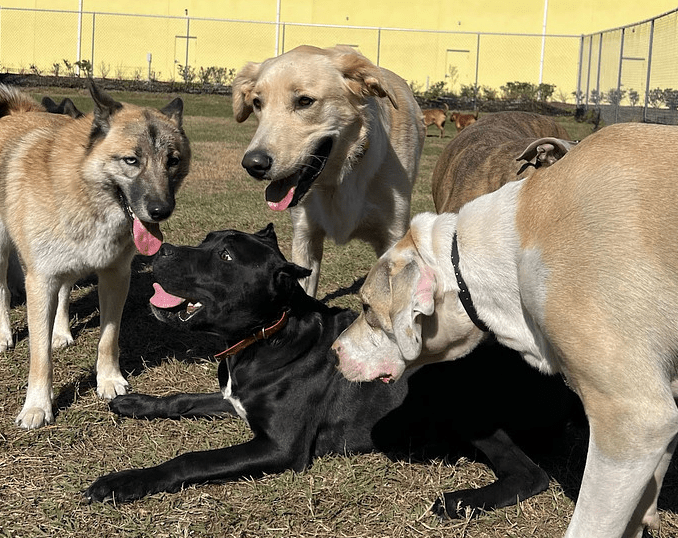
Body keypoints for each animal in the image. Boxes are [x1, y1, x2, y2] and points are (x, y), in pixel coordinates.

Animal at [0, 84, 191, 428]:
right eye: (131, 160)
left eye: (172, 161)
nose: (161, 210)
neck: (84, 185)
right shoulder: (40, 281)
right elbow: (39, 356)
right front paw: (37, 406)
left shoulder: (115, 276)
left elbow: (108, 338)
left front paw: (109, 380)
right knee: (3, 290)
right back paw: (5, 336)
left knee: (65, 290)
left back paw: (61, 331)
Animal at [83, 223, 580, 516]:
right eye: (205, 240)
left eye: (225, 257)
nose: (161, 249)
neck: (267, 337)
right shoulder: (235, 398)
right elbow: (183, 398)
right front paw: (134, 401)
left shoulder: (280, 447)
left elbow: (191, 459)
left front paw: (122, 482)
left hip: (467, 405)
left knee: (530, 475)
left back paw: (462, 501)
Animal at [234, 45, 424, 298]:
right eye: (257, 103)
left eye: (305, 101)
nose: (253, 164)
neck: (340, 178)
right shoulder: (305, 238)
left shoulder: (392, 237)